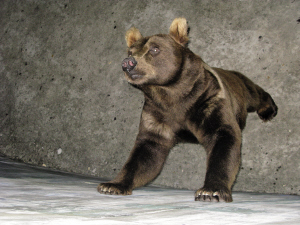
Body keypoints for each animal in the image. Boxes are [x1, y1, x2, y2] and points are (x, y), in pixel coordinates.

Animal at [97, 17, 278, 202]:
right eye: (129, 52)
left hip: (240, 87)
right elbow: (146, 153)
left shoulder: (207, 102)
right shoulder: (158, 114)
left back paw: (268, 110)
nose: (128, 63)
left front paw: (211, 190)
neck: (172, 93)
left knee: (254, 93)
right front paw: (112, 185)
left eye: (155, 48)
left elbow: (223, 139)